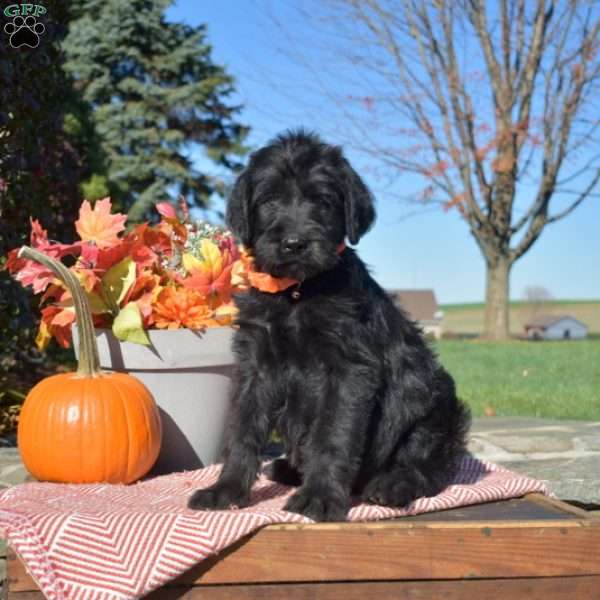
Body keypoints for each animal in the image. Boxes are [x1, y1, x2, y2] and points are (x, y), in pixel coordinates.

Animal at [190, 130, 472, 520]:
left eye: (322, 201)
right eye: (269, 200)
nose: (294, 243)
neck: (297, 292)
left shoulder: (348, 371)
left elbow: (333, 435)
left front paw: (320, 496)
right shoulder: (255, 366)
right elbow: (242, 429)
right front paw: (226, 489)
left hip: (434, 405)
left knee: (425, 467)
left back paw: (390, 486)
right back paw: (287, 468)